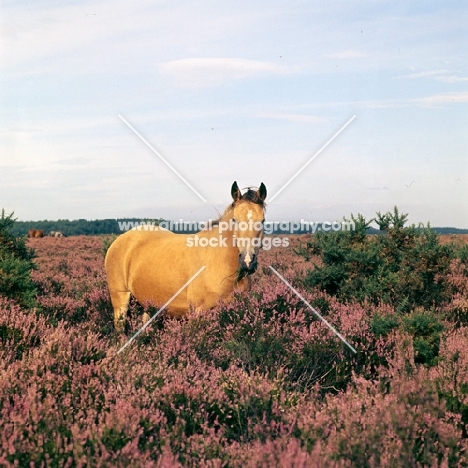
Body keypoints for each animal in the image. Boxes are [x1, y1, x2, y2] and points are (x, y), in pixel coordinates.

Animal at [106, 181, 266, 330]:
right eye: (234, 220)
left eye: (262, 221)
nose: (247, 261)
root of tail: (119, 240)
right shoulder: (199, 313)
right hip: (120, 299)